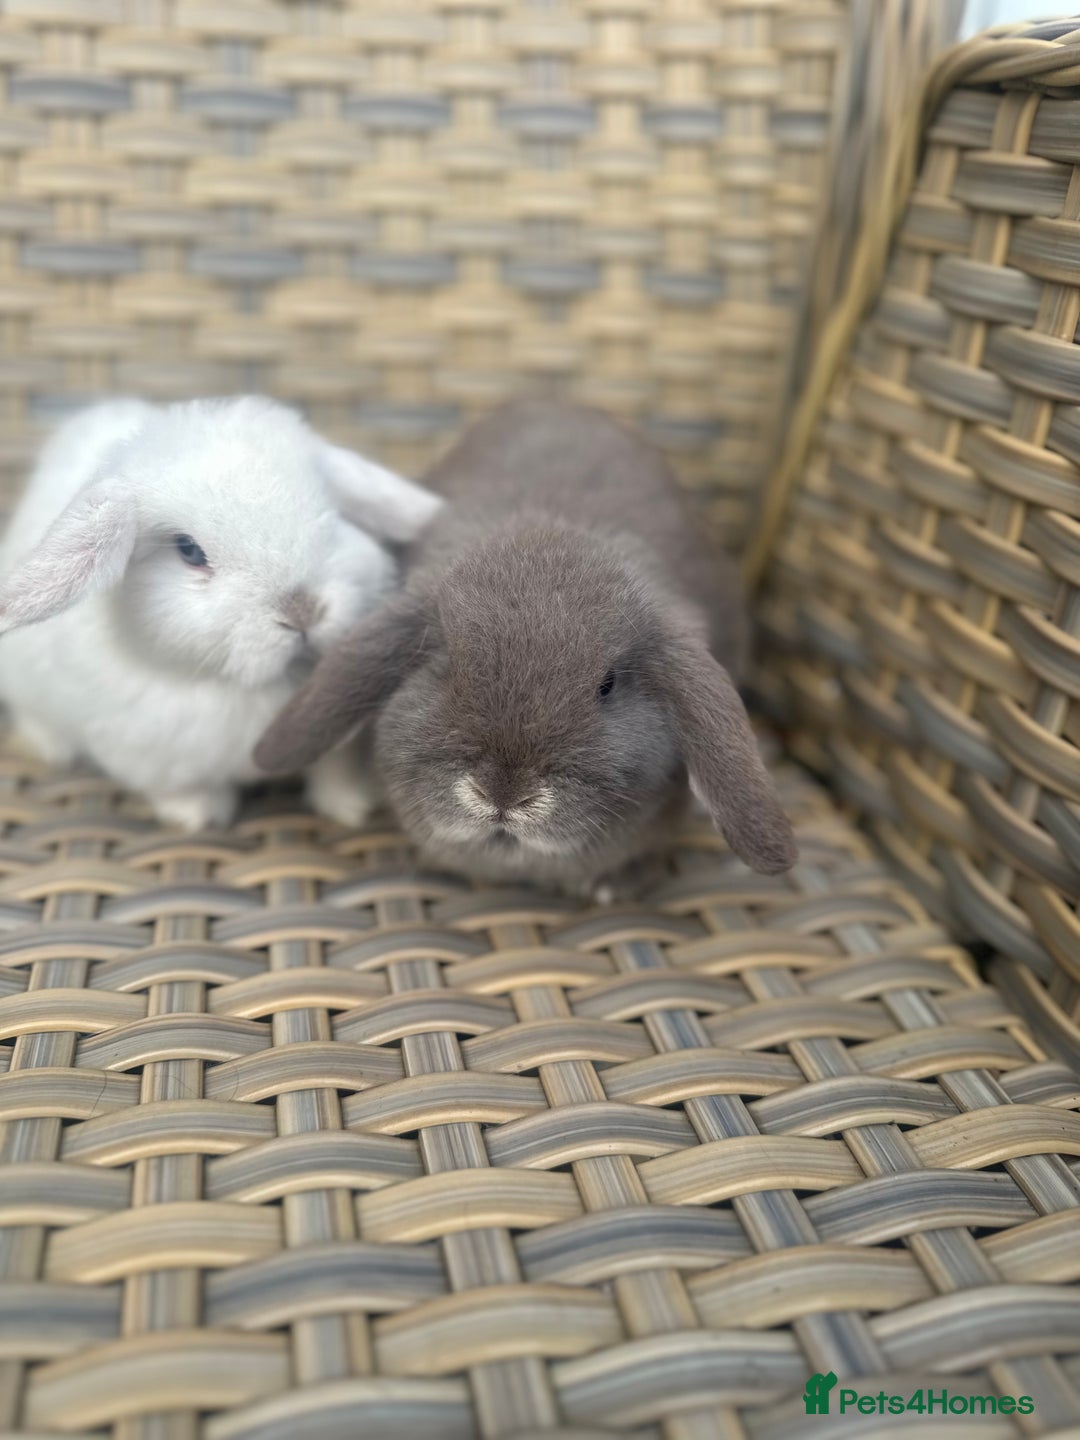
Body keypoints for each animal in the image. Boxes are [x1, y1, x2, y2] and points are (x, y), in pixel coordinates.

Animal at [0, 395, 442, 831]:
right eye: (188, 550)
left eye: (333, 516)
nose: (303, 611)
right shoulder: (151, 754)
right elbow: (180, 787)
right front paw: (199, 816)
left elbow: (334, 769)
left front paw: (353, 807)